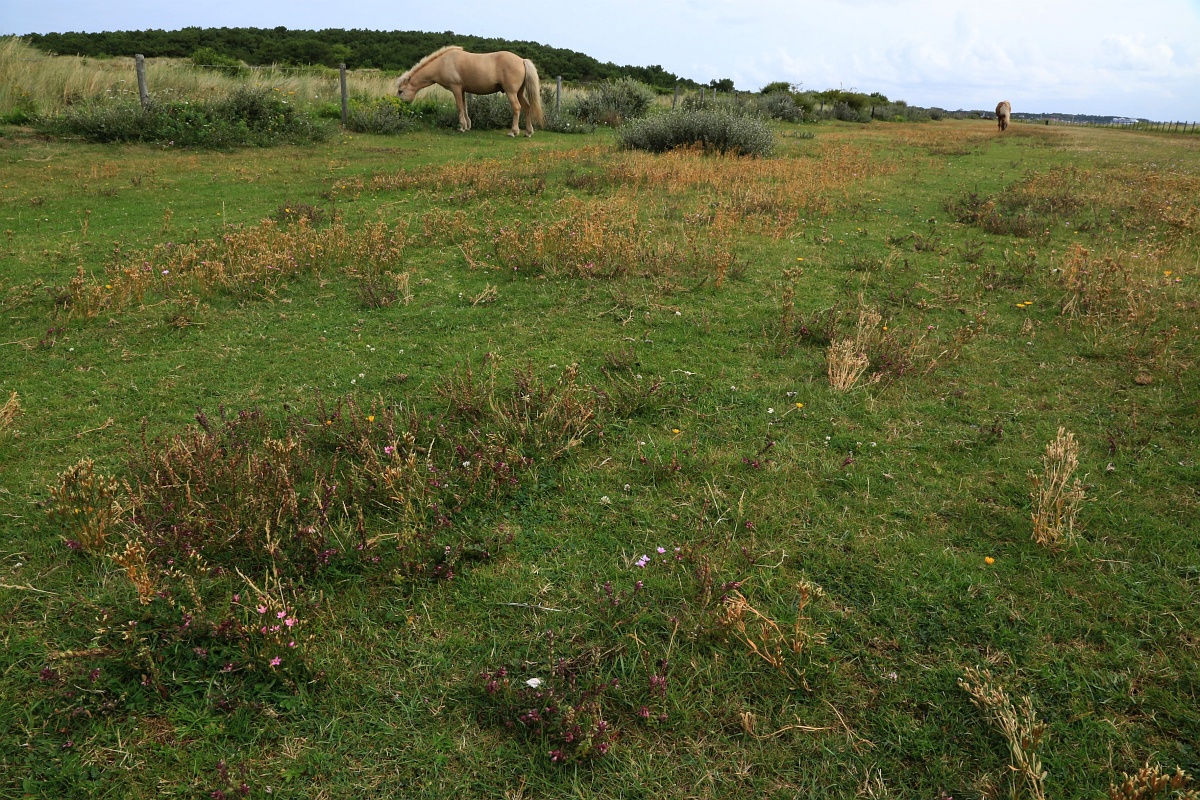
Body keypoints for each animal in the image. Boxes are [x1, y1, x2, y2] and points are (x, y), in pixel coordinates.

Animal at [396, 46, 544, 137]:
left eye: (400, 91)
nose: (399, 108)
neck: (442, 63)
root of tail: (522, 60)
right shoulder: (462, 90)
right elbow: (465, 107)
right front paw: (467, 126)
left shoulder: (455, 88)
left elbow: (459, 107)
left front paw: (461, 127)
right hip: (519, 92)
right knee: (527, 107)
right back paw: (528, 132)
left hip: (511, 92)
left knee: (517, 108)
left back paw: (513, 132)